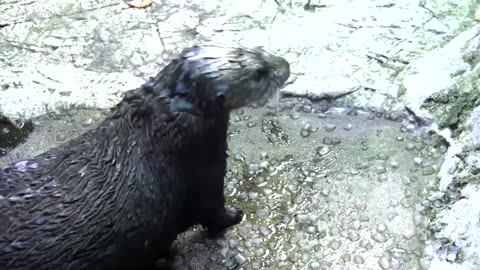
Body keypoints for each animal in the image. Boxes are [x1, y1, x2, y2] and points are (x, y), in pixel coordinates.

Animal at [0, 43, 290, 268]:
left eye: (259, 49)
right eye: (260, 73)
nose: (285, 64)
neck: (157, 129)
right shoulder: (206, 167)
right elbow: (212, 211)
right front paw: (236, 215)